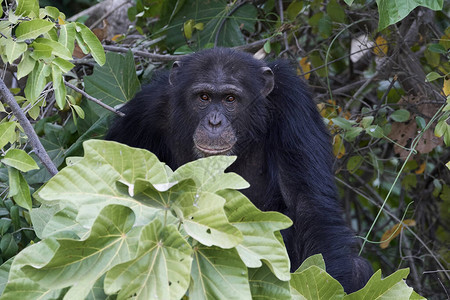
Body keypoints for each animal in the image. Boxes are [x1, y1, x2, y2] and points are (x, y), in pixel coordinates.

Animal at [106, 47, 372, 292]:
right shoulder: (143, 113)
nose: (214, 122)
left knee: (358, 267)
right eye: (203, 97)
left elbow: (309, 205)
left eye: (230, 99)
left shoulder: (293, 104)